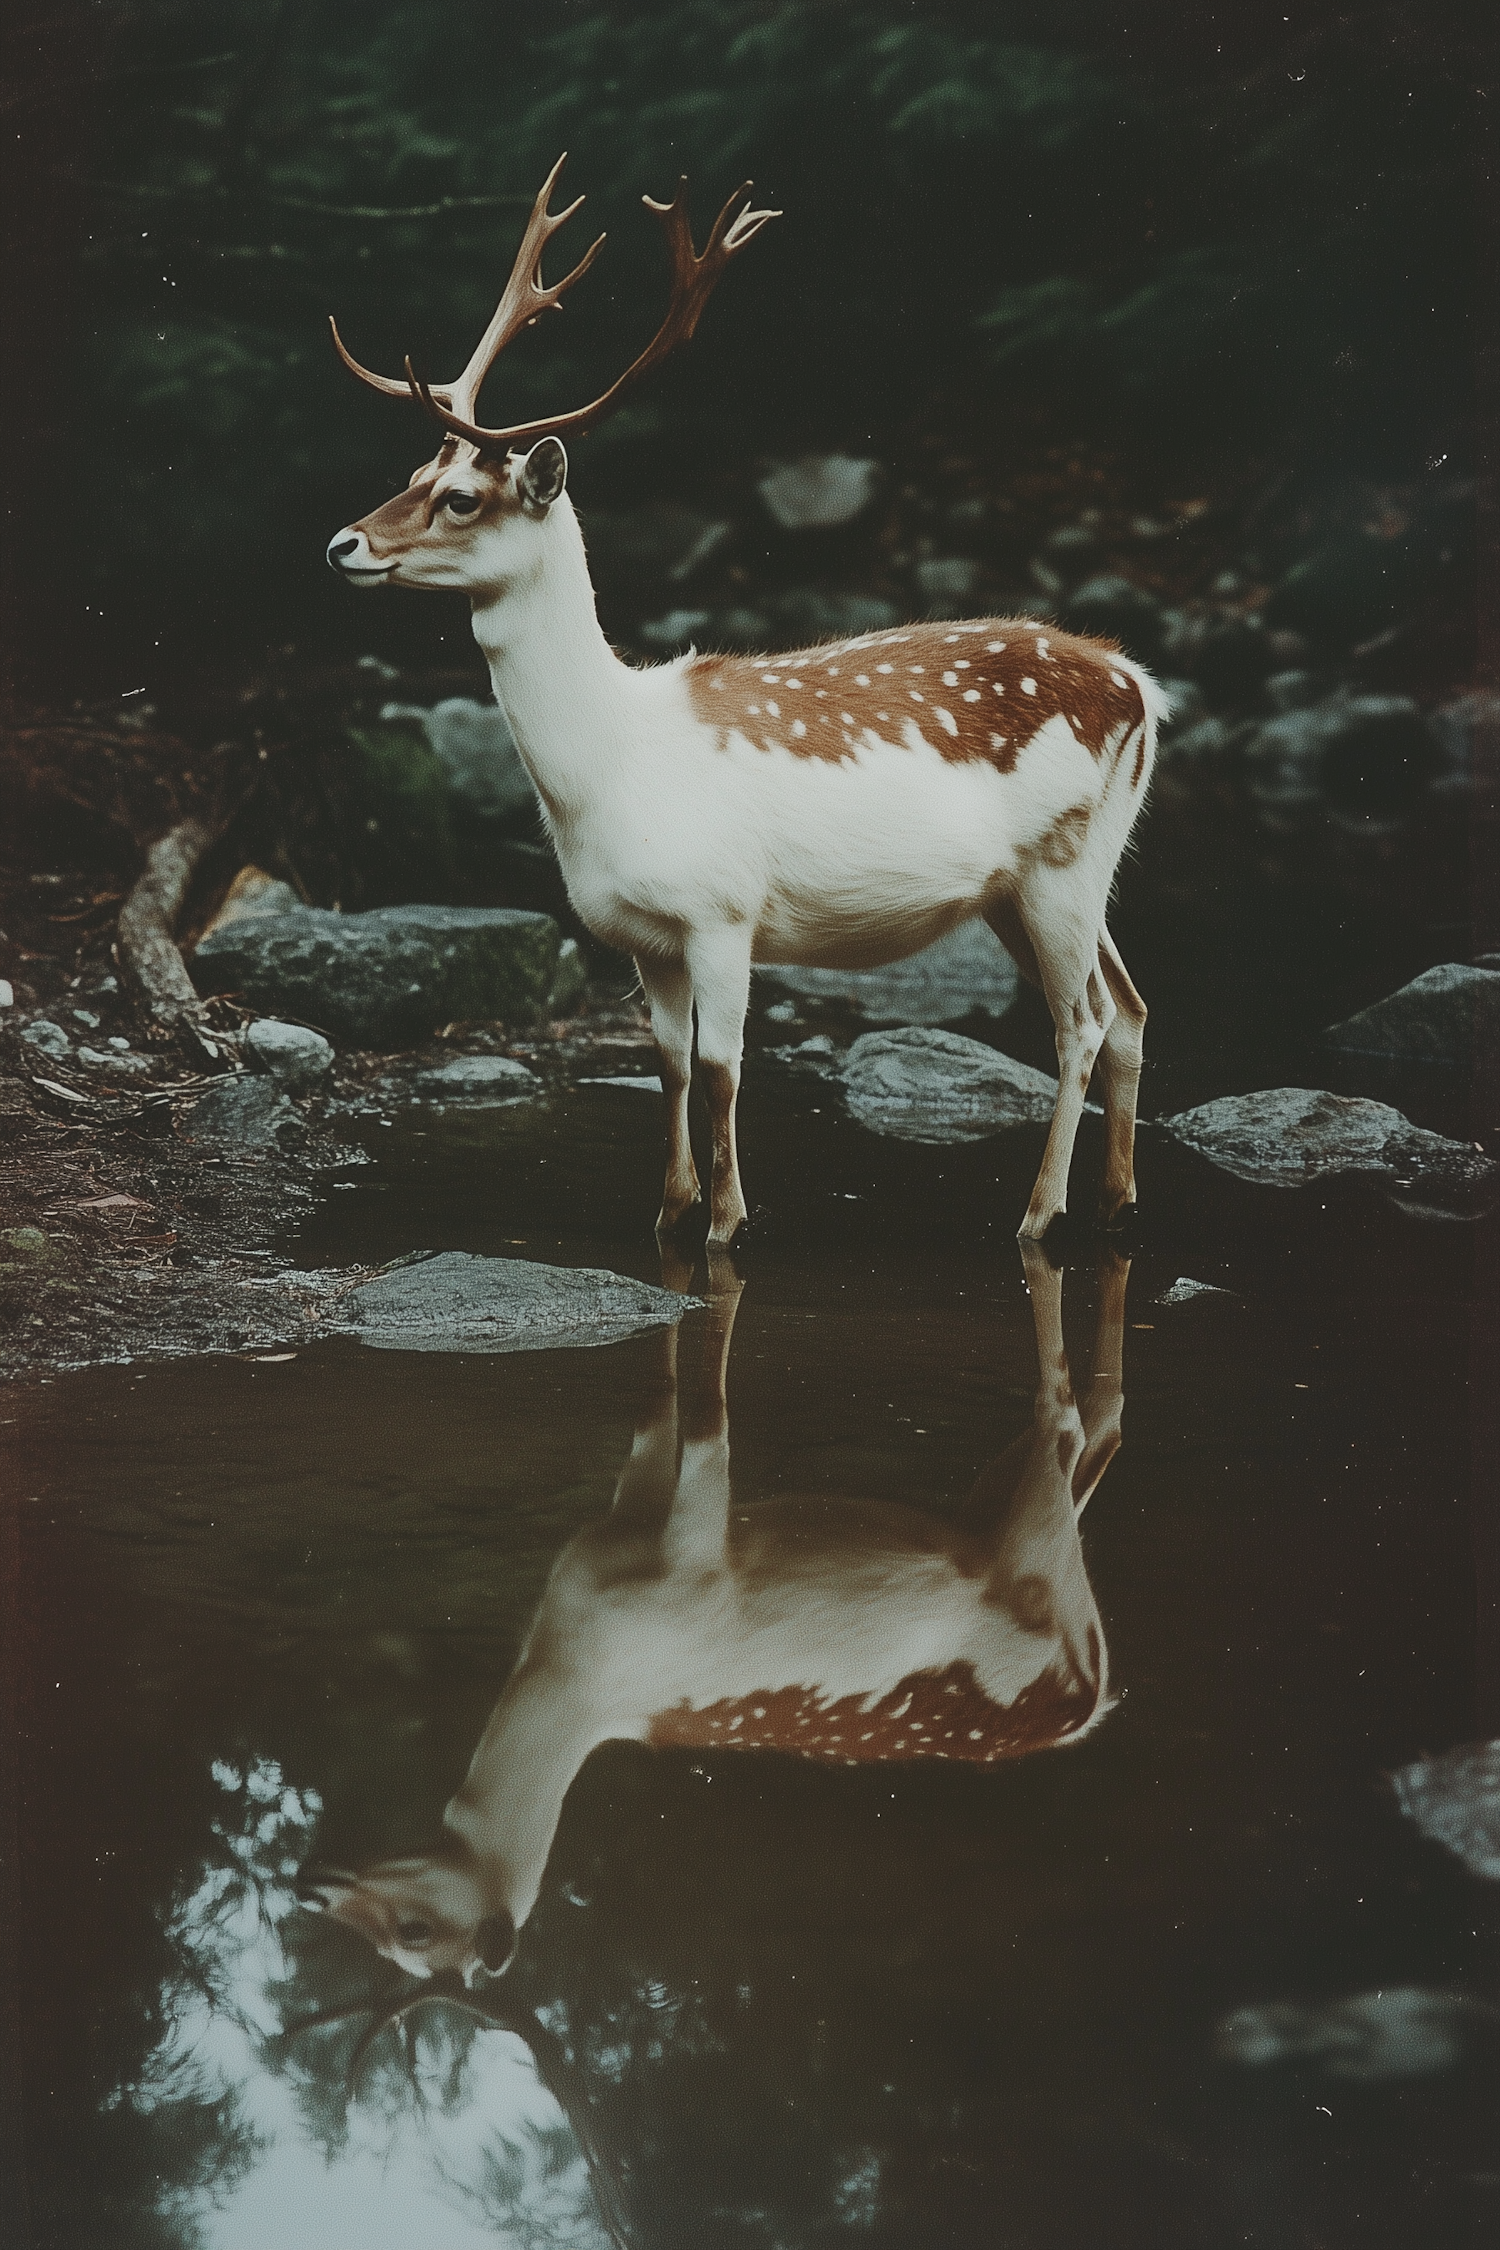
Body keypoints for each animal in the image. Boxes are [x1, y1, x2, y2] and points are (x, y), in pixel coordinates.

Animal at [299, 1242, 1133, 1998]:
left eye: (414, 1932)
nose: (313, 1887)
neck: (575, 1664)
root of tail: (1090, 1697)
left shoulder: (695, 1564)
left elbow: (710, 1423)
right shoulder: (627, 1514)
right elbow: (656, 1416)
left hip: (1032, 1559)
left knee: (1065, 1421)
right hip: (1002, 1518)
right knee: (1091, 1433)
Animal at [328, 160, 1169, 1242]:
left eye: (461, 498)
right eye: (410, 472)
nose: (341, 543)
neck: (607, 770)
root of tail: (1140, 685)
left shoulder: (725, 910)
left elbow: (727, 1073)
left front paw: (727, 1222)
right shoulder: (643, 939)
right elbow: (672, 1068)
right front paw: (670, 1210)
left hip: (1064, 863)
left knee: (1085, 1020)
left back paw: (1038, 1215)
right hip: (1032, 886)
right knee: (1132, 1007)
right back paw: (1116, 1201)